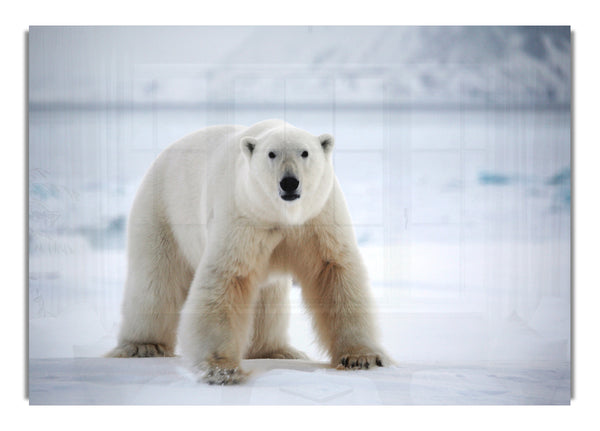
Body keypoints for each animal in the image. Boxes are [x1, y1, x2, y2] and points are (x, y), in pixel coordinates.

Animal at [107, 120, 390, 386]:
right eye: (271, 154)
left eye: (305, 152)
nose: (289, 182)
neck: (282, 215)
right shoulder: (243, 216)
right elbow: (226, 279)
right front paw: (222, 370)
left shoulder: (318, 219)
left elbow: (334, 272)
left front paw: (361, 358)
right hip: (162, 211)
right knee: (156, 281)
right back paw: (143, 345)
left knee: (269, 297)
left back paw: (278, 351)